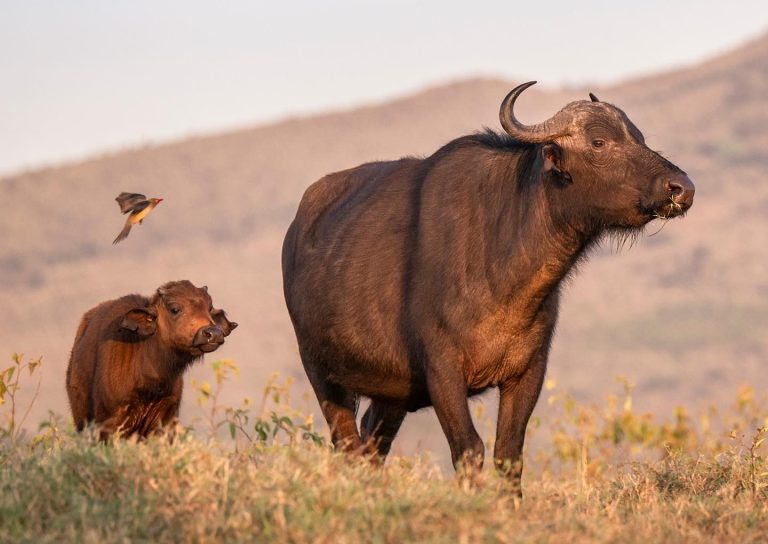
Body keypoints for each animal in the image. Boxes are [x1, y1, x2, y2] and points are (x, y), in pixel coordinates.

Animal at [281, 81, 695, 491]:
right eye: (598, 142)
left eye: (638, 137)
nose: (681, 188)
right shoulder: (443, 372)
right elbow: (469, 449)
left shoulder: (528, 371)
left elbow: (509, 452)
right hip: (323, 375)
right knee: (348, 446)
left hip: (391, 395)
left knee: (371, 448)